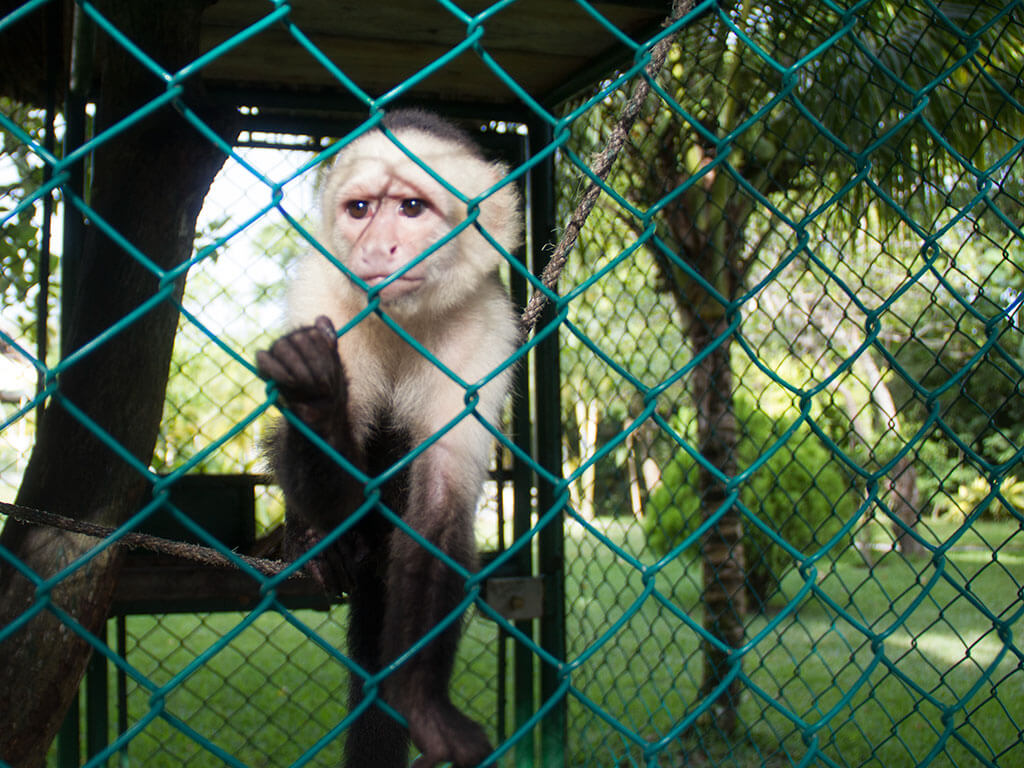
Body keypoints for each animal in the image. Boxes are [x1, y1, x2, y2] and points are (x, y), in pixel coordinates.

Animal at [256, 110, 521, 768]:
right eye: (359, 210)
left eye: (410, 207)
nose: (377, 248)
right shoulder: (325, 293)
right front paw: (319, 403)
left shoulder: (486, 325)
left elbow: (442, 499)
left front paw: (423, 703)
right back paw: (313, 545)